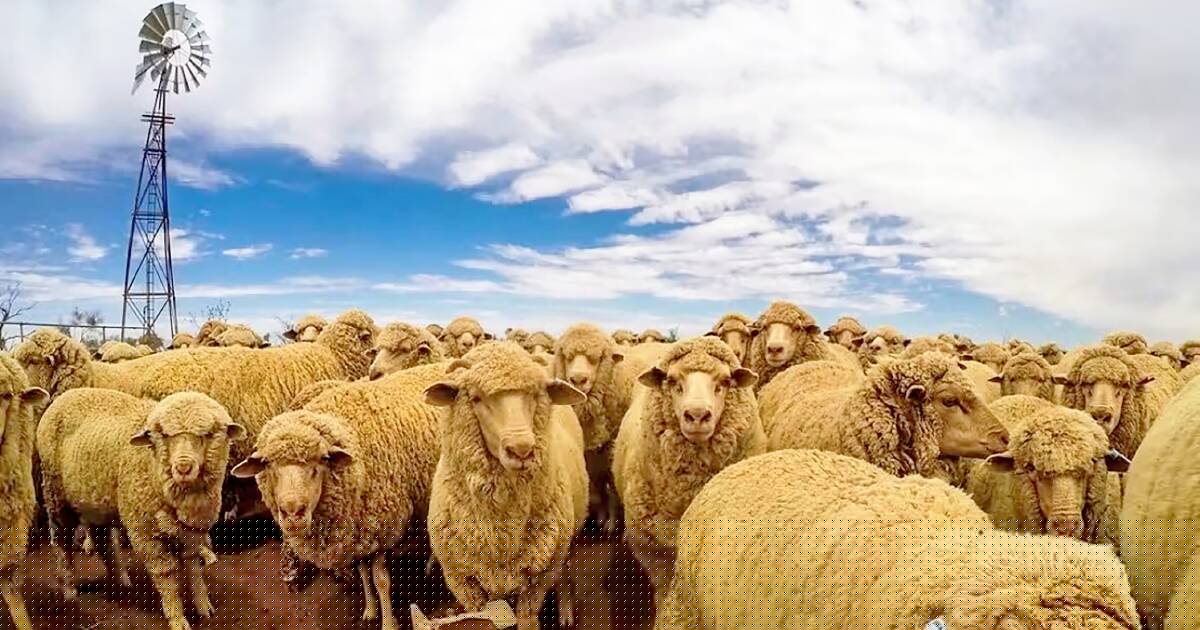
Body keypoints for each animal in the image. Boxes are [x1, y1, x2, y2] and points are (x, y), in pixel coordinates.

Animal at [38, 389, 243, 630]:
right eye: (164, 435)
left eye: (208, 434)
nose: (183, 468)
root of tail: (65, 395)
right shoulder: (146, 533)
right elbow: (166, 575)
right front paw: (177, 617)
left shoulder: (192, 529)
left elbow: (193, 567)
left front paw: (203, 606)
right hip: (56, 495)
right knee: (62, 542)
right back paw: (69, 591)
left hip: (97, 502)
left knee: (103, 540)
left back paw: (121, 582)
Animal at [232, 359, 450, 629]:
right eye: (267, 465)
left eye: (320, 462)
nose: (293, 514)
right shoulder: (357, 532)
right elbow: (363, 573)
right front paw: (369, 610)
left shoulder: (380, 527)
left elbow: (381, 580)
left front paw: (389, 622)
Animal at [424, 343, 588, 630]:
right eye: (476, 398)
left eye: (534, 395)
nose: (522, 450)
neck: (501, 532)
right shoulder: (462, 580)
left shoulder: (539, 576)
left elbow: (527, 618)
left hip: (564, 541)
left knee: (565, 569)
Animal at [552, 324, 668, 534]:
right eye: (566, 355)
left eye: (597, 358)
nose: (578, 379)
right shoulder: (586, 453)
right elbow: (595, 485)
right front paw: (596, 515)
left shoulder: (613, 446)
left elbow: (612, 486)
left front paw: (611, 522)